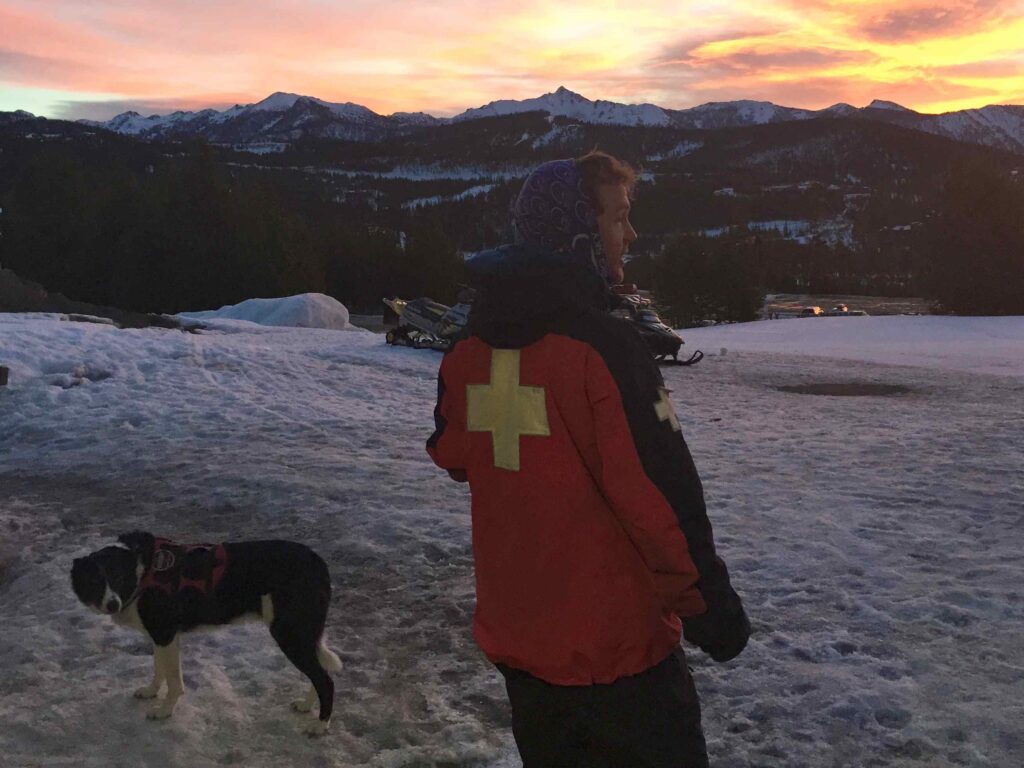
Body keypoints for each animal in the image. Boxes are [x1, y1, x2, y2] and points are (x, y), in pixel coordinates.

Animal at [73, 532, 344, 737]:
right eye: (95, 582)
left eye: (117, 577)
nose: (112, 605)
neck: (141, 570)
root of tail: (319, 562)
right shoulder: (160, 636)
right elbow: (159, 670)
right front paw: (151, 692)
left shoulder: (165, 635)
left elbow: (174, 681)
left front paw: (164, 711)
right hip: (302, 633)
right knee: (320, 673)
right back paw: (307, 706)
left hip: (289, 633)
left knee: (325, 680)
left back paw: (320, 725)